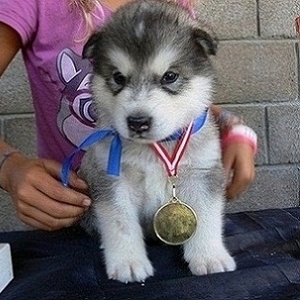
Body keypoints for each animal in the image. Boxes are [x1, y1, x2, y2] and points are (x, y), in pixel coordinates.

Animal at [80, 0, 237, 282]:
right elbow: (120, 222)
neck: (156, 147)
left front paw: (210, 257)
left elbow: (207, 217)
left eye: (170, 77)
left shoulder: (202, 173)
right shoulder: (112, 178)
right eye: (118, 78)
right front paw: (128, 262)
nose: (137, 121)